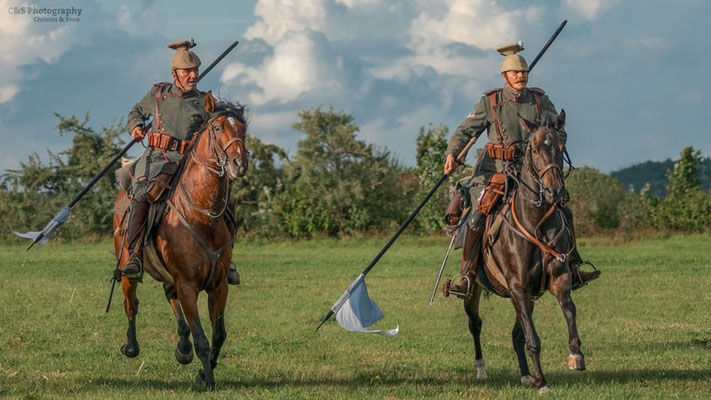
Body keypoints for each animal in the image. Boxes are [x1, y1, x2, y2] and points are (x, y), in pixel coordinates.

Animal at [113, 103, 250, 388]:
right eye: (217, 127)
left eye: (243, 129)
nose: (239, 163)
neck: (202, 214)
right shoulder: (188, 285)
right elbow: (202, 338)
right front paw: (207, 379)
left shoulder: (218, 285)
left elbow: (219, 334)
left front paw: (203, 371)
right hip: (128, 270)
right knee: (132, 304)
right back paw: (131, 347)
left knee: (169, 294)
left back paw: (182, 347)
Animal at [462, 111, 584, 392]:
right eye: (535, 149)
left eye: (561, 146)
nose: (554, 191)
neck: (536, 221)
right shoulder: (517, 286)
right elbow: (533, 338)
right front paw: (542, 381)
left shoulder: (558, 278)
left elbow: (569, 310)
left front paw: (575, 355)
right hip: (475, 290)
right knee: (476, 324)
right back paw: (481, 368)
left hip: (529, 296)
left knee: (517, 333)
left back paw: (526, 374)